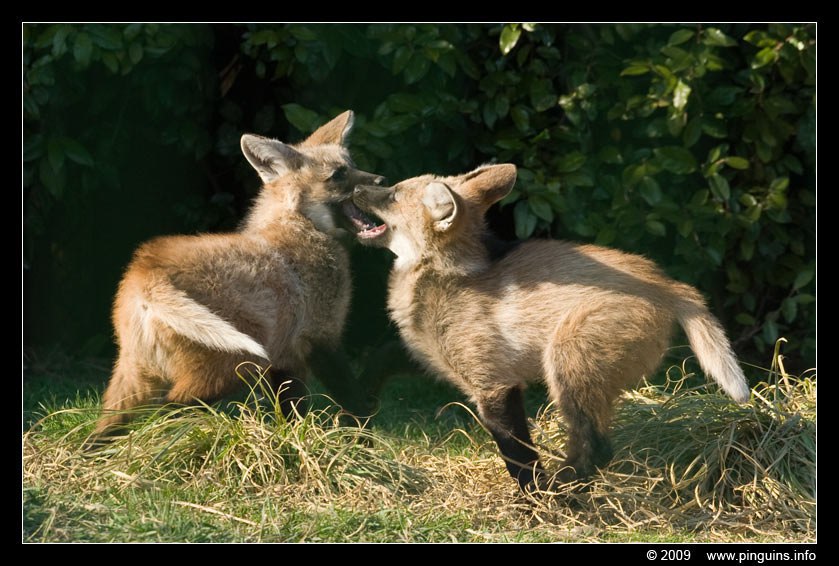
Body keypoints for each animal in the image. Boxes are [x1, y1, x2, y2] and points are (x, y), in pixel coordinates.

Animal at [91, 110, 385, 441]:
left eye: (353, 166)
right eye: (338, 175)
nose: (381, 181)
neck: (300, 227)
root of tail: (147, 268)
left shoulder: (287, 359)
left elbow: (293, 414)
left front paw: (292, 442)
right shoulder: (322, 338)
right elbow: (356, 403)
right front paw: (367, 444)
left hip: (132, 384)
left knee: (100, 435)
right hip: (234, 366)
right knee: (167, 411)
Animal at [352, 163, 750, 491]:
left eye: (393, 194)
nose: (357, 187)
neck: (444, 272)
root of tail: (669, 286)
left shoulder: (494, 386)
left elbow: (518, 455)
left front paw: (532, 499)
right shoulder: (434, 357)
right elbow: (378, 361)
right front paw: (358, 408)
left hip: (566, 360)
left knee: (596, 446)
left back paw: (562, 489)